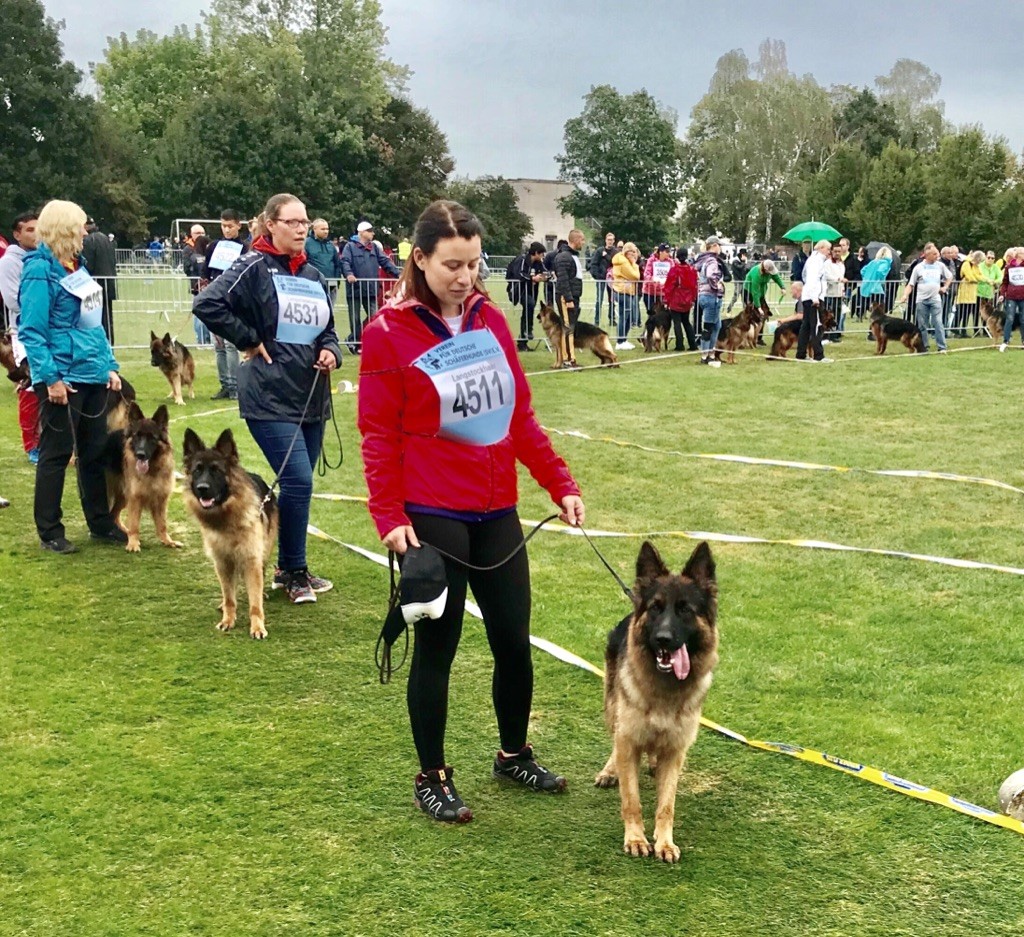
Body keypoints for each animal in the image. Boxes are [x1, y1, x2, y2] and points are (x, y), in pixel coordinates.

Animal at [107, 401, 183, 548]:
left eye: (152, 437)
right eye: (137, 435)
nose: (140, 455)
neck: (152, 470)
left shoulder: (161, 499)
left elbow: (162, 524)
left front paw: (167, 540)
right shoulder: (135, 498)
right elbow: (134, 523)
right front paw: (133, 543)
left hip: (123, 496)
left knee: (114, 514)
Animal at [183, 428, 280, 643]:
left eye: (216, 471)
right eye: (197, 470)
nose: (202, 488)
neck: (226, 518)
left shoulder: (251, 560)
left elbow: (255, 604)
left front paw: (257, 627)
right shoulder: (222, 562)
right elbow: (229, 597)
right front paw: (228, 620)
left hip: (264, 551)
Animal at [598, 540, 716, 864]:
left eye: (685, 609)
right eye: (655, 608)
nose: (663, 639)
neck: (664, 692)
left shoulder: (676, 751)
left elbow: (666, 805)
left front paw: (664, 843)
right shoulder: (629, 740)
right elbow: (631, 799)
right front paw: (636, 839)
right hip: (612, 707)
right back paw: (610, 771)